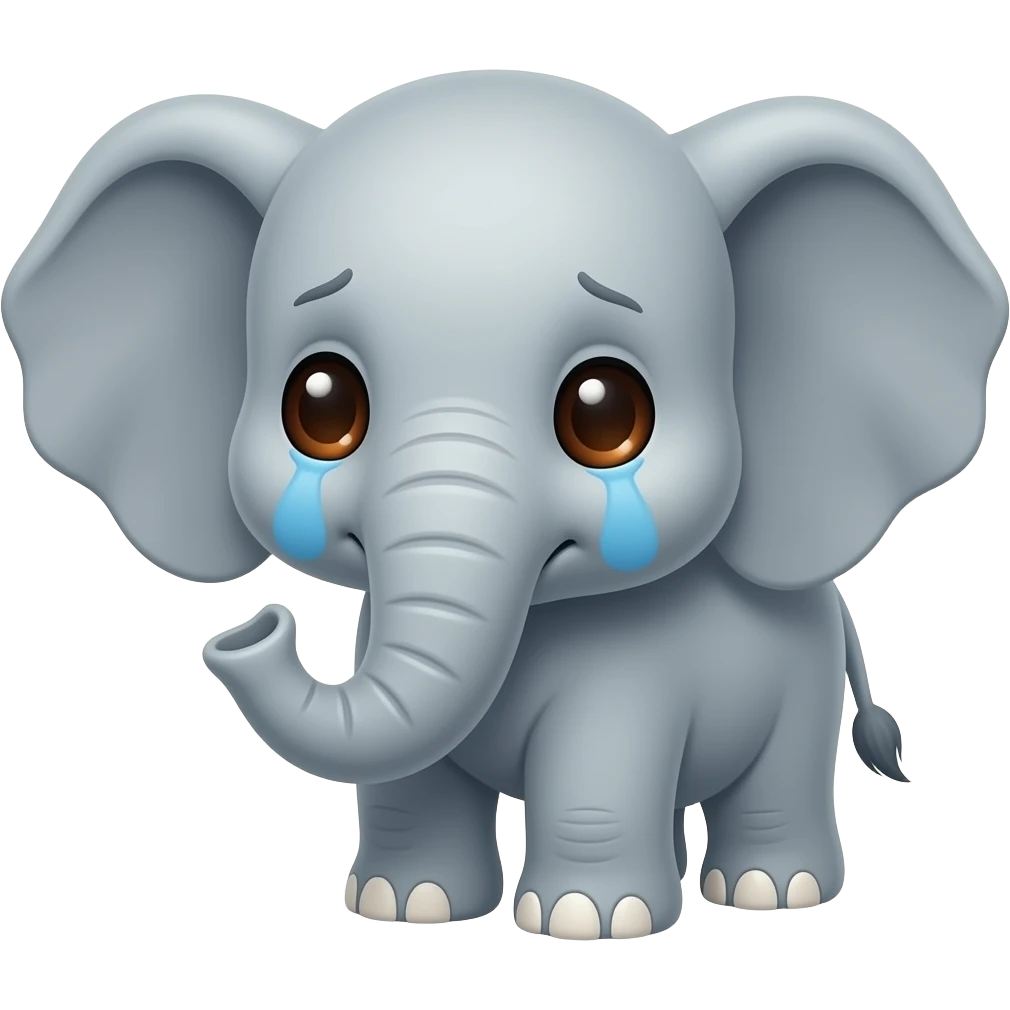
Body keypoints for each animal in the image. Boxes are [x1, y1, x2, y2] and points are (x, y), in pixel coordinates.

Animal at [3, 73, 1006, 940]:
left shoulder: (630, 674)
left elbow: (601, 758)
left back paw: (770, 890)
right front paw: (405, 905)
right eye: (319, 404)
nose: (254, 629)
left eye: (605, 414)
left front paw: (589, 922)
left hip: (803, 682)